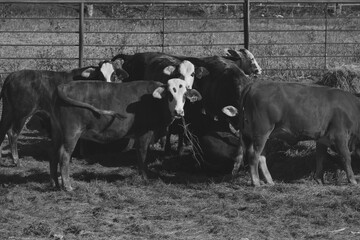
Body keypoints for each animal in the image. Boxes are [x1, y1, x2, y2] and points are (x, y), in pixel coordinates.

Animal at [0, 59, 129, 167]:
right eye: (100, 74)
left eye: (114, 75)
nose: (109, 85)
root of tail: (11, 76)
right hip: (22, 113)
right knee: (13, 133)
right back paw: (16, 161)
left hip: (8, 110)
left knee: (3, 130)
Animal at [49, 79, 201, 191]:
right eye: (170, 95)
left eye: (185, 95)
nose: (178, 112)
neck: (154, 101)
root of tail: (64, 86)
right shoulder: (144, 134)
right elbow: (142, 155)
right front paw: (144, 178)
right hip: (72, 132)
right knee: (64, 155)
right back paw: (67, 186)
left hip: (57, 132)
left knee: (54, 156)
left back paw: (54, 183)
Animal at [222, 81, 360, 187]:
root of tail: (255, 85)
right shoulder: (339, 136)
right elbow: (346, 157)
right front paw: (353, 180)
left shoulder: (322, 139)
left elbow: (320, 158)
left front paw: (319, 179)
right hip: (261, 133)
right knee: (253, 155)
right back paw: (256, 182)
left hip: (257, 135)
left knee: (261, 157)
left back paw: (270, 181)